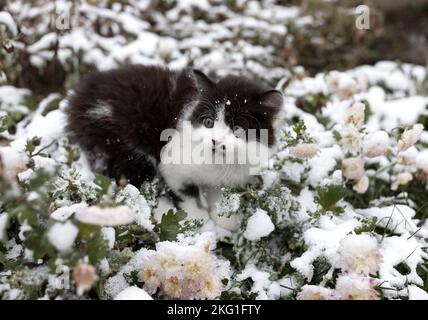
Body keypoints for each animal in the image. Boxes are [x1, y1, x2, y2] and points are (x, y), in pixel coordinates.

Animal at [65, 63, 282, 228]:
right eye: (208, 122)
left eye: (237, 129)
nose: (215, 141)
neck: (218, 164)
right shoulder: (173, 165)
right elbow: (186, 192)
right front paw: (197, 220)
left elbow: (221, 195)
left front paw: (226, 220)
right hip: (125, 139)